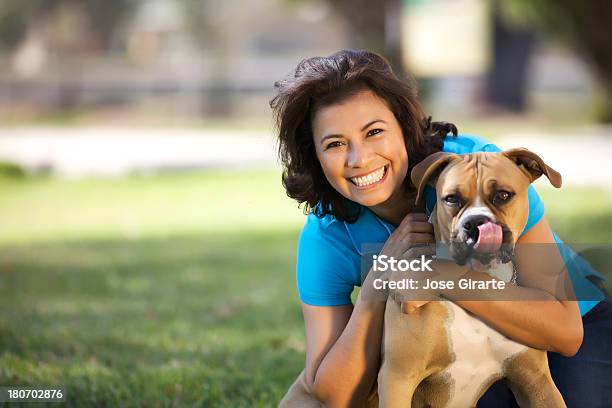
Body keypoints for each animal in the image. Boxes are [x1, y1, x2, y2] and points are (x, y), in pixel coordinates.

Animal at [380, 148, 568, 406]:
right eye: (451, 198)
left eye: (503, 195)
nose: (475, 222)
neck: (478, 278)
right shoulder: (398, 377)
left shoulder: (536, 381)